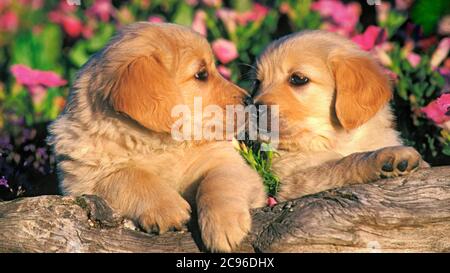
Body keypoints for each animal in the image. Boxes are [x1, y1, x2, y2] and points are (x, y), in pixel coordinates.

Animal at [48, 22, 268, 252]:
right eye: (201, 74)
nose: (250, 100)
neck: (159, 143)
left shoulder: (227, 161)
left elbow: (220, 181)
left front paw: (225, 225)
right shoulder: (84, 179)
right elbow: (129, 176)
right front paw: (168, 208)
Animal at [255, 30, 428, 200]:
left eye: (298, 78)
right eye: (257, 82)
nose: (254, 108)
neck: (337, 140)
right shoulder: (292, 181)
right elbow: (342, 163)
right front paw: (387, 156)